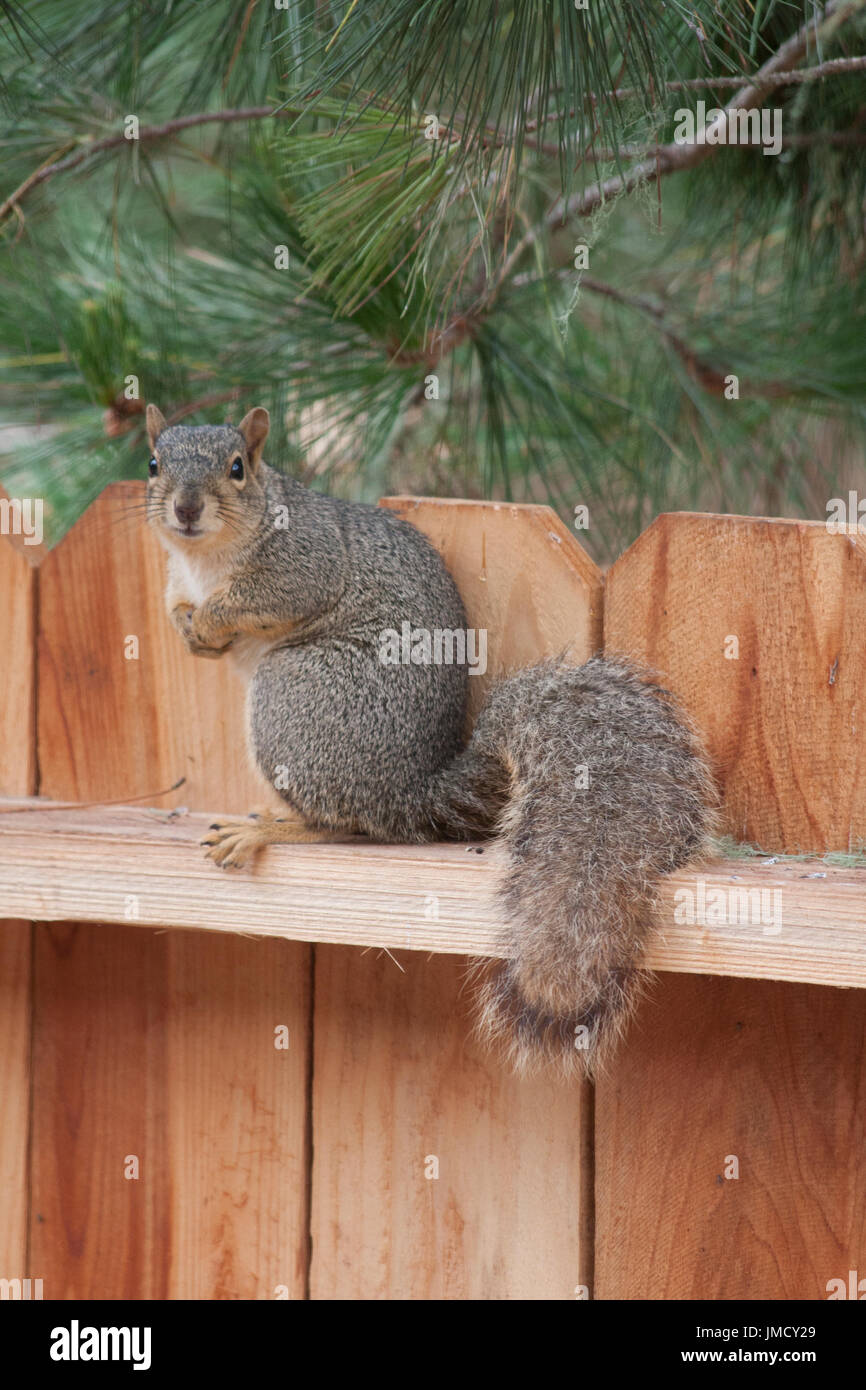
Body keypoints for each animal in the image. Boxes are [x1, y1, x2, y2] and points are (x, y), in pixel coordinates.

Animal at [143, 403, 717, 1073]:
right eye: (152, 463)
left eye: (237, 468)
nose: (185, 507)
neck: (204, 558)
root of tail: (411, 790)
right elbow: (175, 605)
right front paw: (188, 628)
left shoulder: (304, 560)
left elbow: (266, 596)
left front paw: (210, 620)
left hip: (295, 697)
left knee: (345, 823)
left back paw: (270, 828)